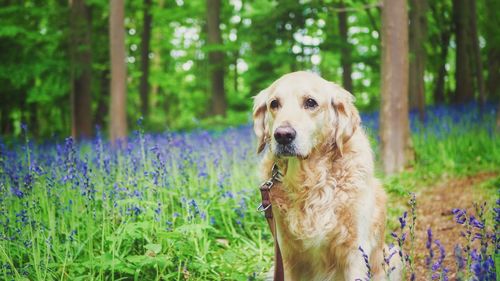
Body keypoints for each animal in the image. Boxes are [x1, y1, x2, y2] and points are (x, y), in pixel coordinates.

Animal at [252, 71, 400, 278]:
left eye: (310, 102)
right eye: (274, 104)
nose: (282, 135)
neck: (310, 181)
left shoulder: (355, 254)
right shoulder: (287, 257)